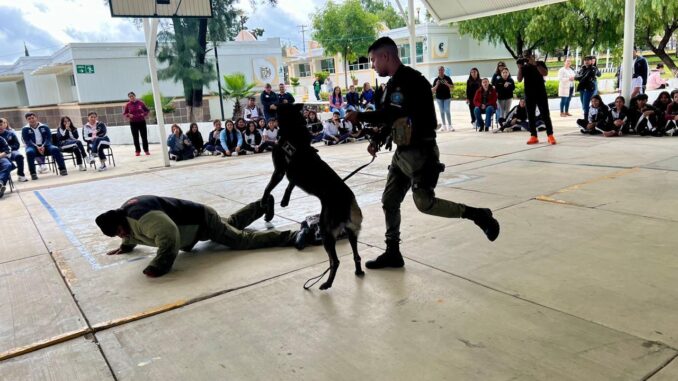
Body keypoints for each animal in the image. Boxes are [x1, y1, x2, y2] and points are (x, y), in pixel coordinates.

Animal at [262, 102, 364, 290]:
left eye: (280, 104)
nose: (270, 106)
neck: (293, 129)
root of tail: (348, 199)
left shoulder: (279, 171)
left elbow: (268, 188)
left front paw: (265, 201)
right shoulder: (292, 176)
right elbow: (290, 186)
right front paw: (284, 201)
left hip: (325, 231)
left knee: (335, 261)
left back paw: (327, 283)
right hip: (350, 231)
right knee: (356, 255)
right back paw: (358, 271)